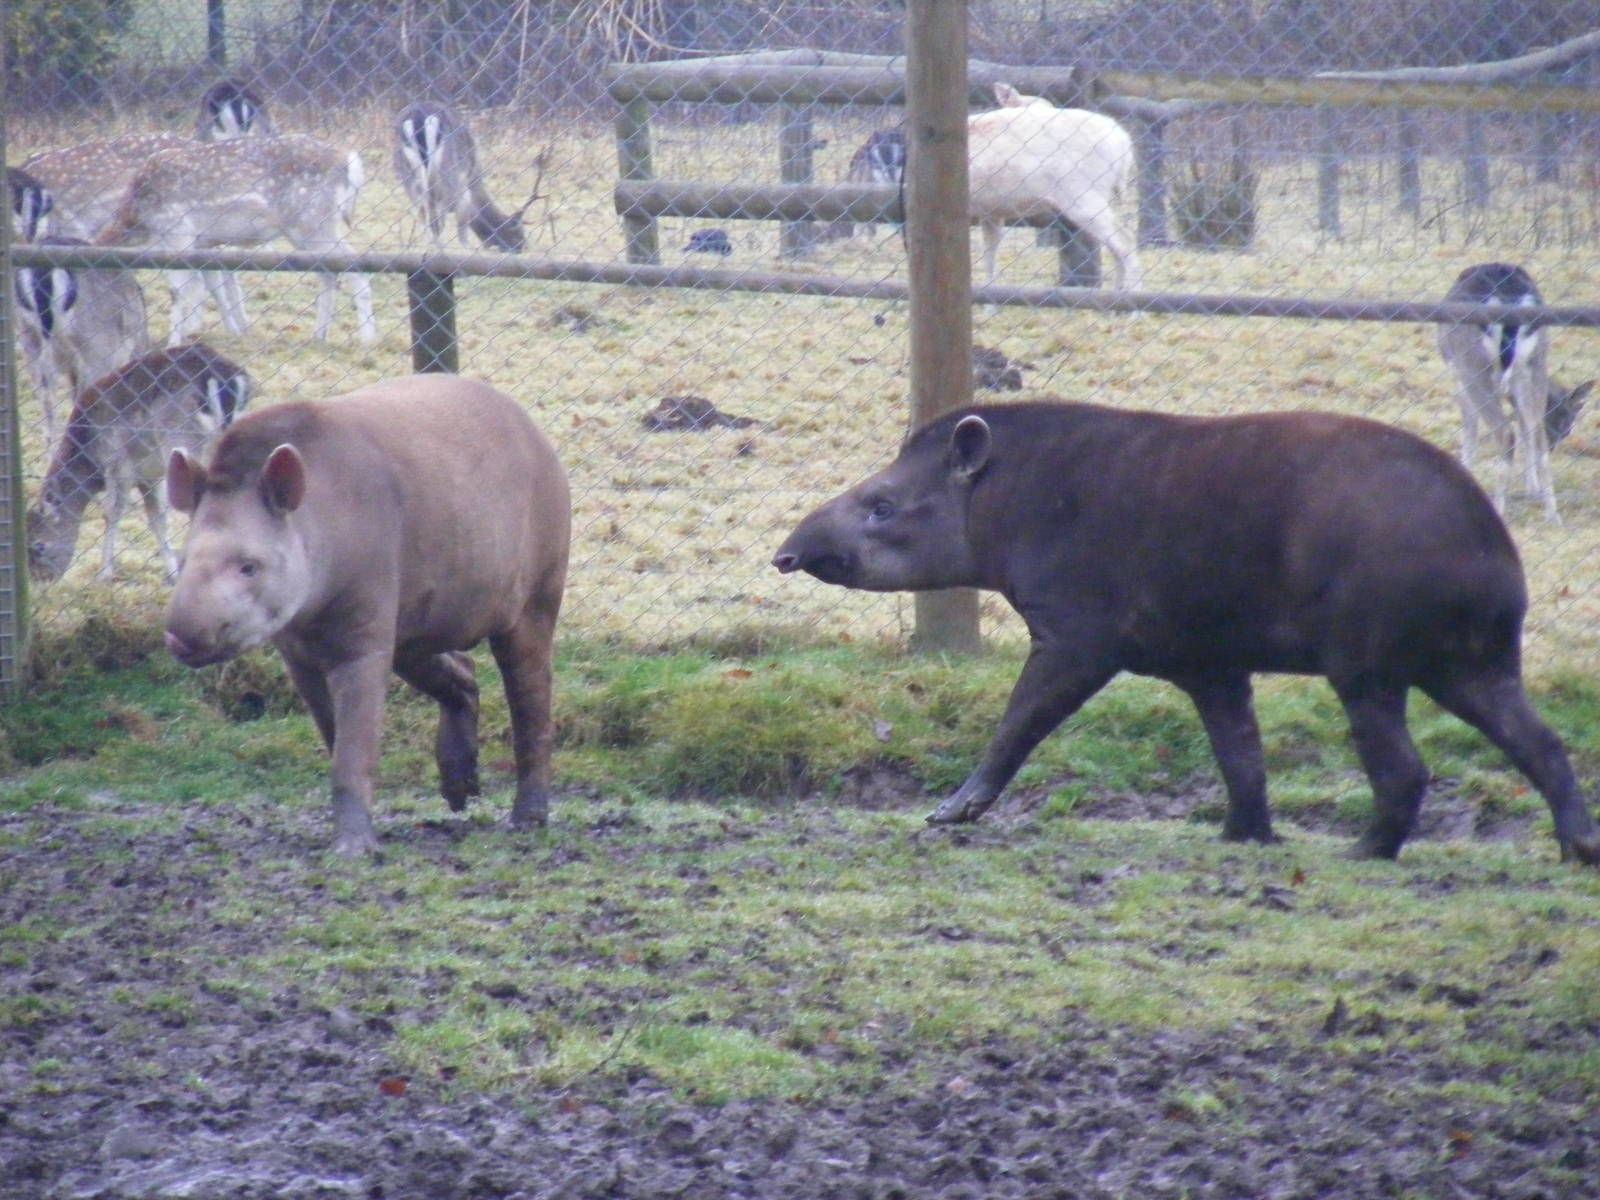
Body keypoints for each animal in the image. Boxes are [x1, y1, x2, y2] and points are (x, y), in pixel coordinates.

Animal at [28, 342, 251, 583]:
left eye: (39, 546)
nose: (43, 581)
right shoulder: (150, 476)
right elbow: (157, 518)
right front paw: (172, 574)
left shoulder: (119, 463)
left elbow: (112, 511)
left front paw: (104, 574)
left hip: (184, 440)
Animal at [95, 134, 378, 345]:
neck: (138, 219)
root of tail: (351, 161)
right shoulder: (203, 243)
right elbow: (211, 286)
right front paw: (225, 332)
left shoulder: (176, 233)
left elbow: (180, 292)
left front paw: (174, 343)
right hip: (307, 229)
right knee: (328, 271)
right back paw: (320, 335)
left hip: (313, 221)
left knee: (354, 267)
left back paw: (367, 339)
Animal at [393, 103, 532, 252]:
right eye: (518, 233)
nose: (524, 247)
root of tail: (418, 117)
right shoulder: (464, 186)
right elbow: (463, 223)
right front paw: (468, 248)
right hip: (448, 172)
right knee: (438, 215)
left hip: (408, 175)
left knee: (423, 211)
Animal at [1437, 263, 1594, 523]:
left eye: (1567, 425)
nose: (1560, 436)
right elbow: (1526, 431)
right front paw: (1533, 490)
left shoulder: (1458, 377)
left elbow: (1470, 430)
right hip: (1534, 361)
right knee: (1535, 434)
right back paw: (1553, 515)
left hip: (1473, 367)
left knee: (1505, 434)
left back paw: (1499, 509)